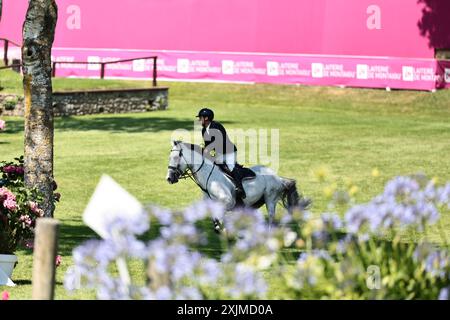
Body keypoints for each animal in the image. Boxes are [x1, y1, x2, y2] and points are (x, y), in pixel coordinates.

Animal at [165, 141, 310, 226]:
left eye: (176, 157)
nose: (169, 178)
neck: (209, 179)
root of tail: (277, 177)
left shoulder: (228, 204)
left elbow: (220, 221)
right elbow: (216, 222)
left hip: (270, 199)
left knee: (270, 219)